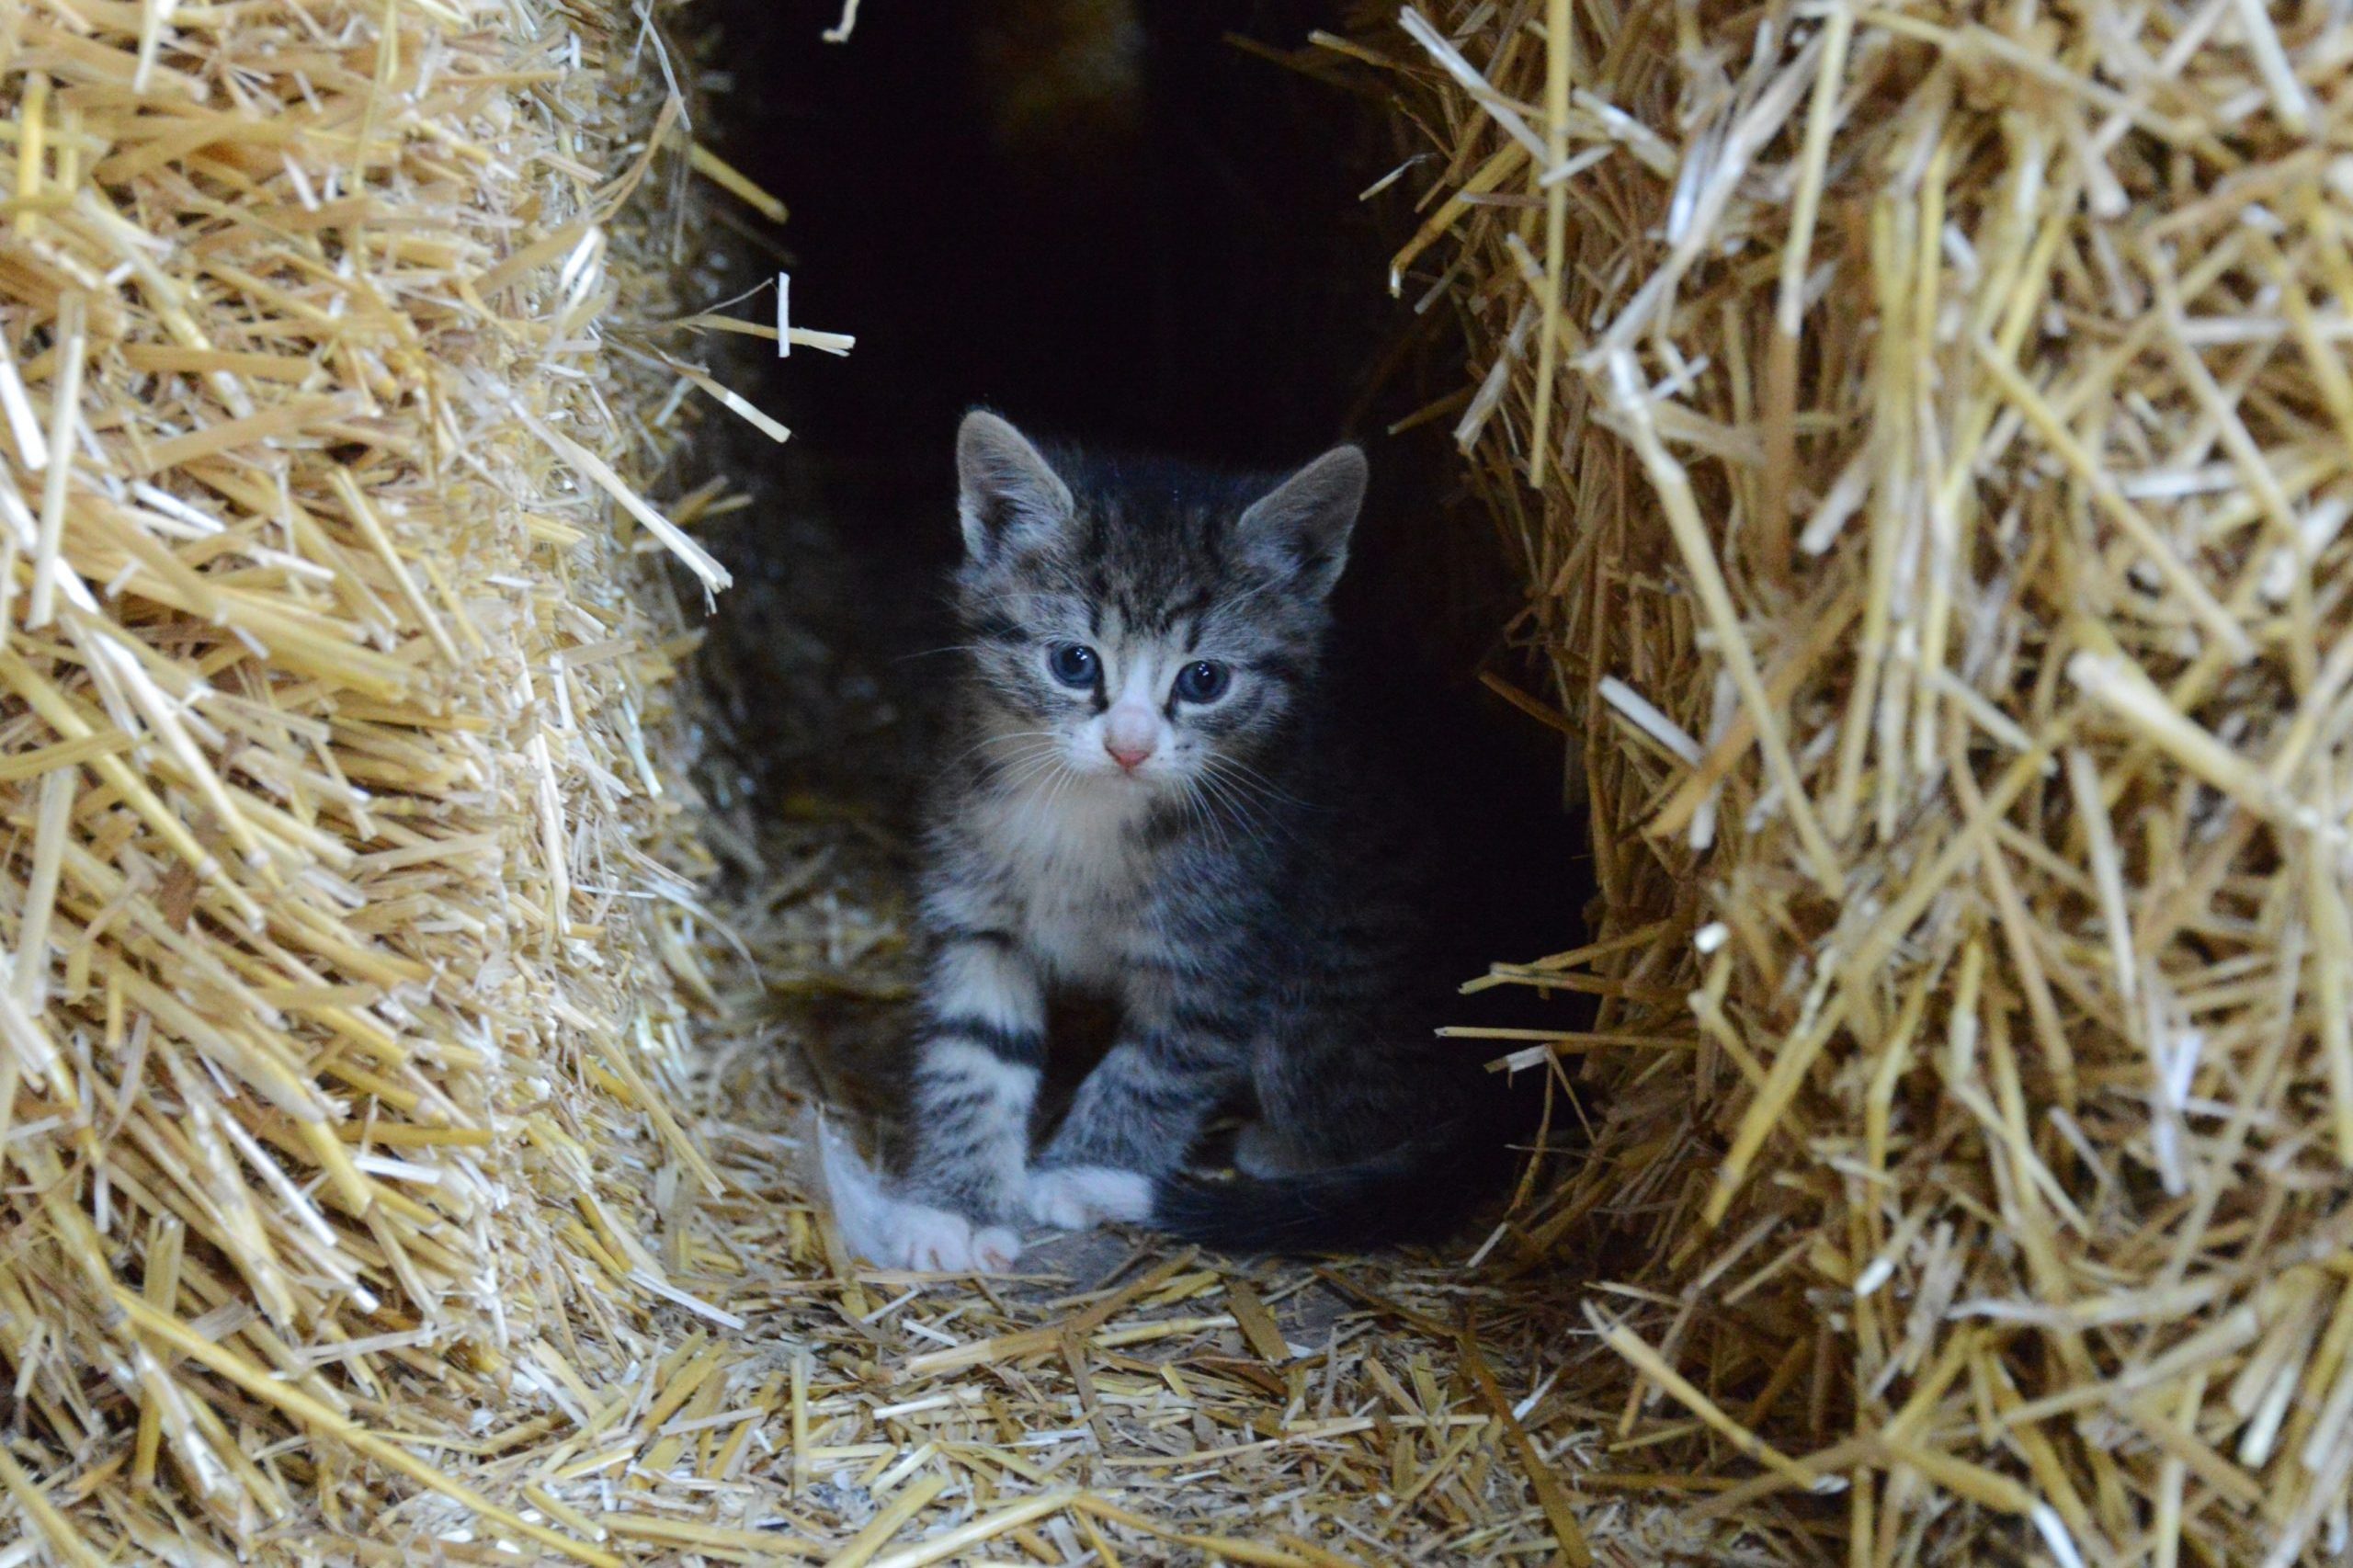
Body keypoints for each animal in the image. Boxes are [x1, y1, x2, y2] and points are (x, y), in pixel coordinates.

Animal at [875, 412, 1534, 1271]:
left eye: (1205, 680)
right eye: (1073, 662)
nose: (1128, 746)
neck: (1097, 807)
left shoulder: (1217, 960)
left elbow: (1156, 1067)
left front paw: (1081, 1171)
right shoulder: (978, 917)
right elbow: (973, 1054)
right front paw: (951, 1206)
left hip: (1328, 992)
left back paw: (1284, 1150)